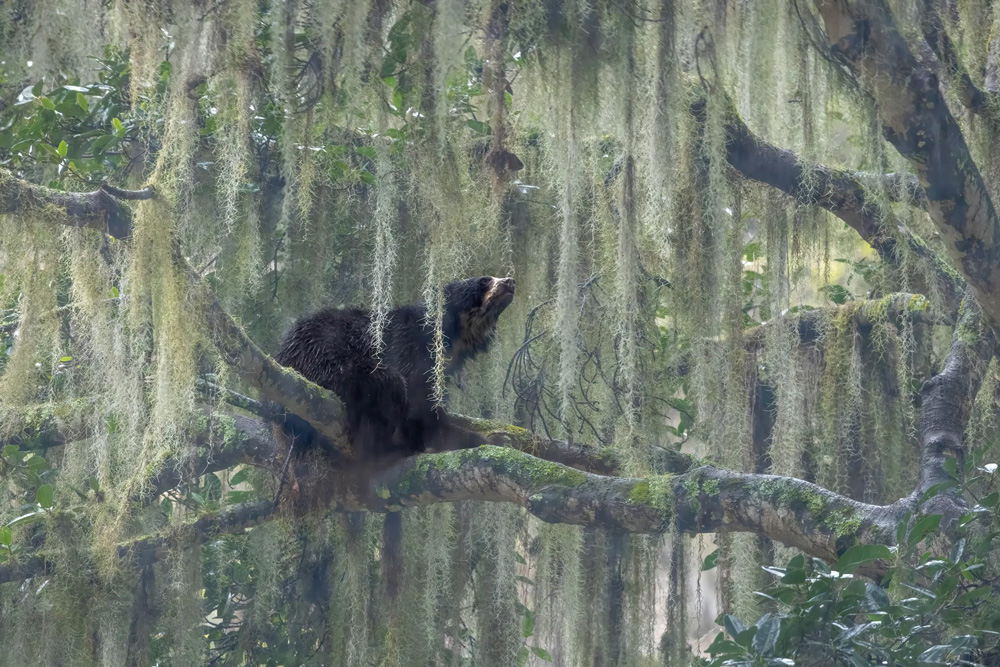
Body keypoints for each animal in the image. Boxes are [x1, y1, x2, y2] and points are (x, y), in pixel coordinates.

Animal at [274, 276, 516, 460]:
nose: (509, 281)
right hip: (325, 357)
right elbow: (418, 406)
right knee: (388, 384)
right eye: (484, 280)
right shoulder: (407, 347)